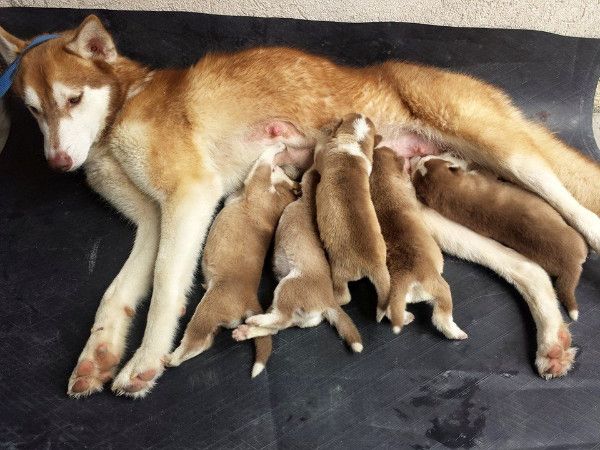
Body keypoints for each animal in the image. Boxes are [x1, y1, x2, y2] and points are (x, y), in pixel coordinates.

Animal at [166, 146, 300, 378]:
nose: (285, 166)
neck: (279, 193)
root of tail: (250, 301)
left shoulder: (259, 180)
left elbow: (263, 161)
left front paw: (277, 146)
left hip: (207, 311)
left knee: (197, 342)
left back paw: (171, 358)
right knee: (205, 342)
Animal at [232, 169, 364, 352]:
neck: (307, 203)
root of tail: (329, 301)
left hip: (287, 288)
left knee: (279, 319)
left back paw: (255, 320)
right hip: (296, 314)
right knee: (277, 326)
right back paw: (247, 331)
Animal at [312, 111, 392, 312]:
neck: (355, 141)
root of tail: (373, 265)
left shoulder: (321, 156)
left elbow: (318, 150)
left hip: (339, 272)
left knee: (344, 297)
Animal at [370, 148, 468, 342]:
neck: (382, 185)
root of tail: (404, 279)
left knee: (392, 312)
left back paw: (407, 317)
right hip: (441, 289)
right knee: (441, 318)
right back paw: (456, 333)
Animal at [412, 155, 584, 320]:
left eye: (427, 160)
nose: (419, 157)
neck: (449, 192)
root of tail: (569, 266)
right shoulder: (482, 177)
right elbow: (485, 170)